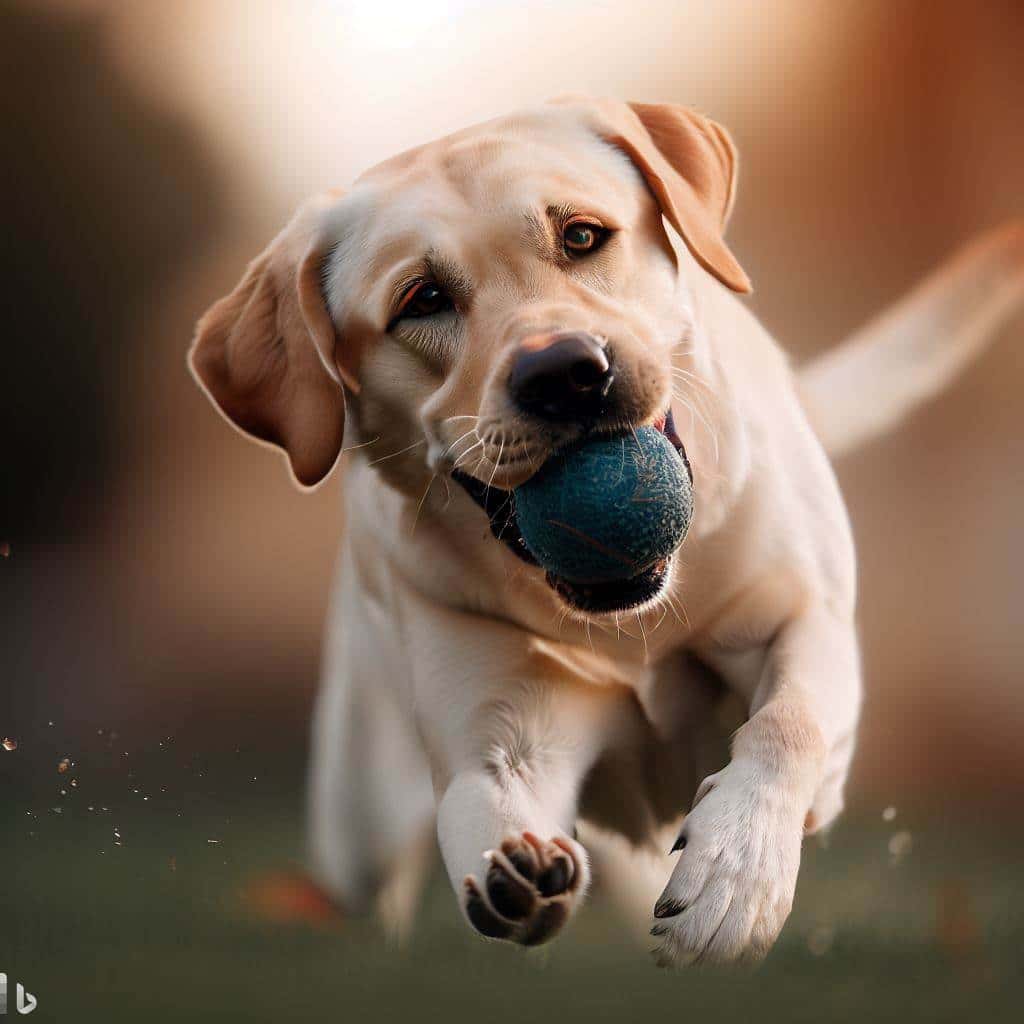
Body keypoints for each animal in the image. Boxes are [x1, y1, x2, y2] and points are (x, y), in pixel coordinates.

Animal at [188, 94, 1019, 958]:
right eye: (422, 299)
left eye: (582, 236)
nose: (563, 372)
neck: (633, 622)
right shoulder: (510, 722)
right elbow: (476, 796)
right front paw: (514, 873)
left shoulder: (806, 622)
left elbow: (787, 724)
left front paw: (736, 877)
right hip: (360, 819)